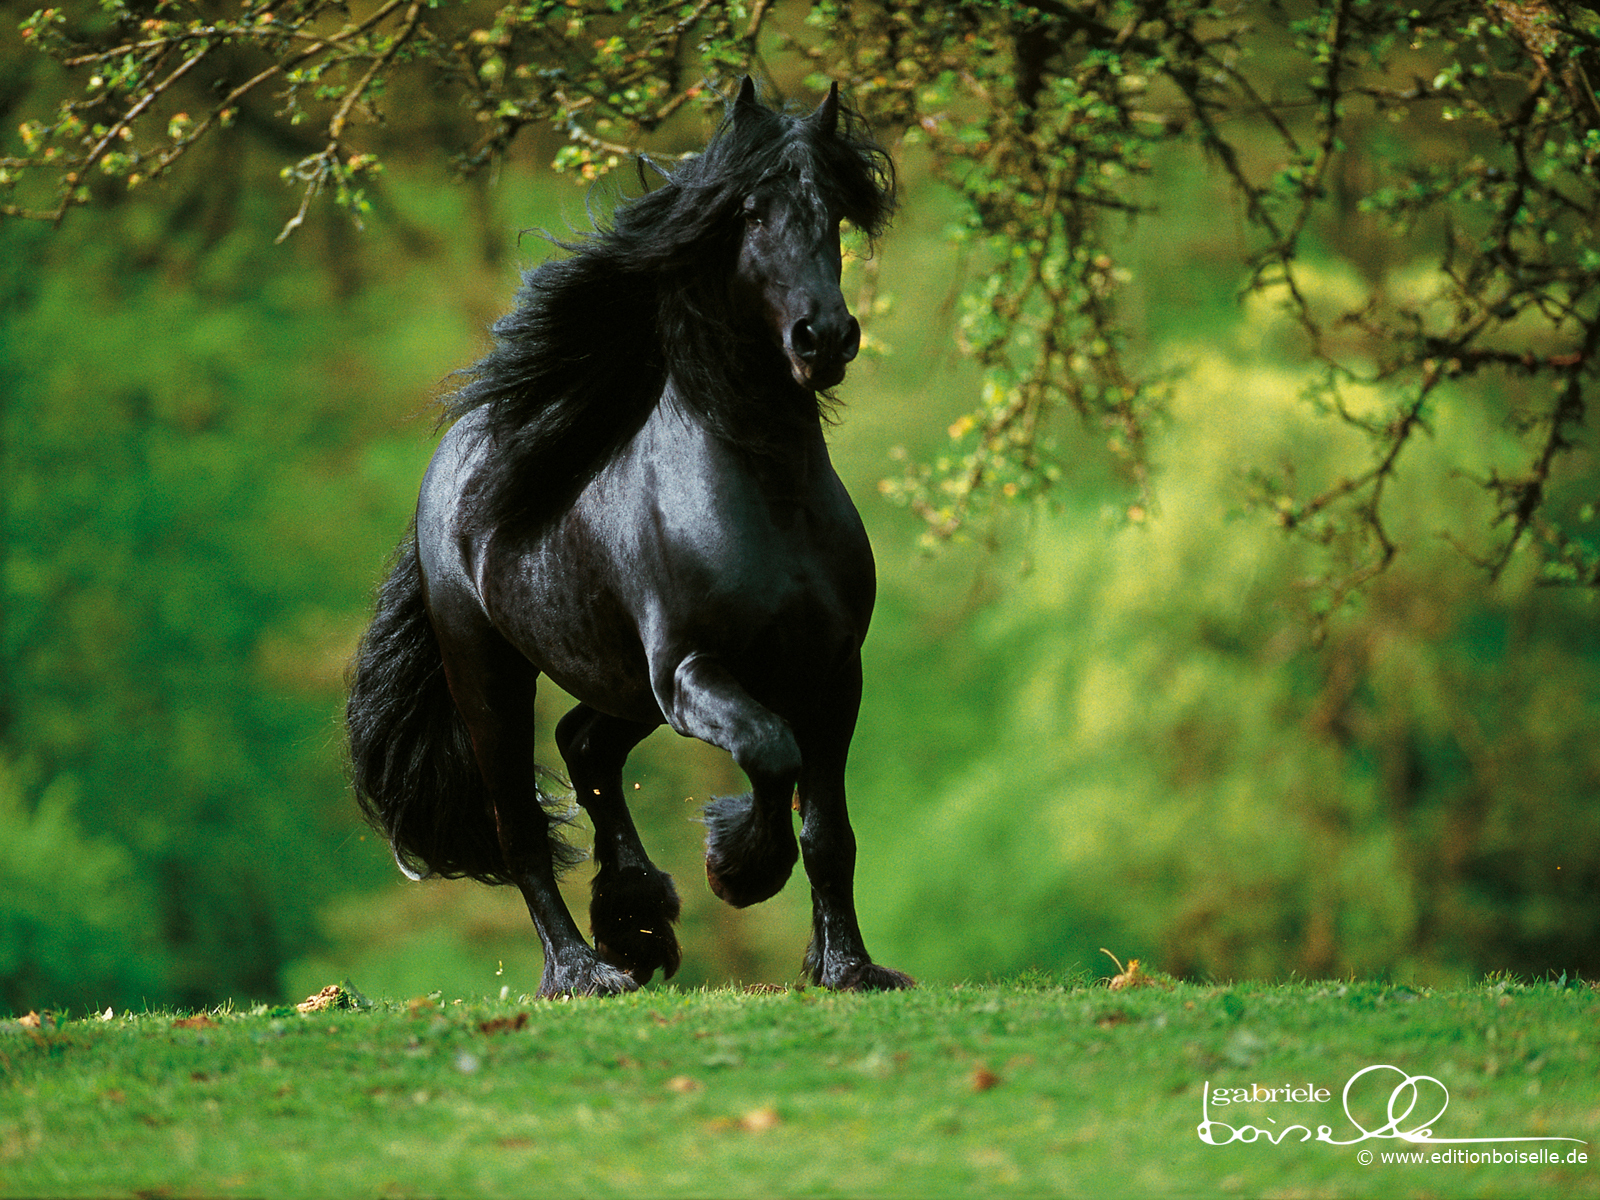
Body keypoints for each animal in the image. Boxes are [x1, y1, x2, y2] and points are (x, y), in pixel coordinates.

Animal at [346, 78, 915, 998]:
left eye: (831, 212)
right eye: (750, 213)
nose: (824, 338)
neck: (766, 499)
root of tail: (452, 463)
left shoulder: (833, 673)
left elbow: (829, 830)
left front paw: (849, 968)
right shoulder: (692, 670)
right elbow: (770, 752)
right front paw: (738, 868)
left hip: (620, 686)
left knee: (584, 747)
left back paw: (636, 920)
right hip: (491, 677)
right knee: (520, 829)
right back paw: (583, 970)